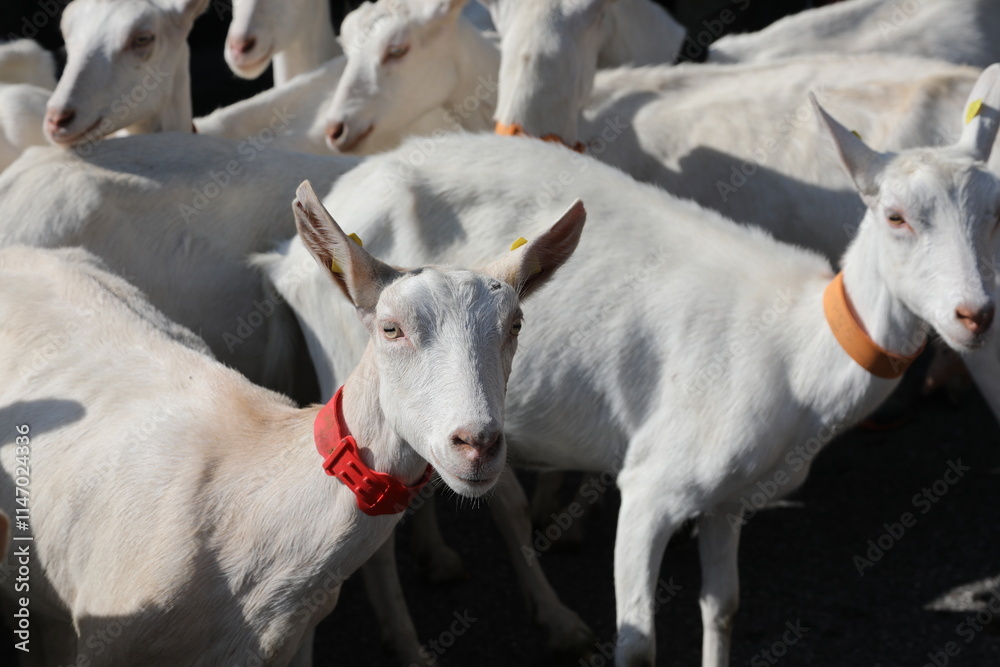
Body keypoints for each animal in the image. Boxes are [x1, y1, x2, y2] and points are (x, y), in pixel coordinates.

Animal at [262, 67, 1000, 667]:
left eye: (995, 213)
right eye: (895, 217)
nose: (974, 315)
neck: (796, 355)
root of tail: (293, 251)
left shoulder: (728, 498)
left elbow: (723, 608)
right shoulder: (655, 483)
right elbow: (639, 643)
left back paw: (492, 585)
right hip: (350, 366)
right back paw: (416, 642)